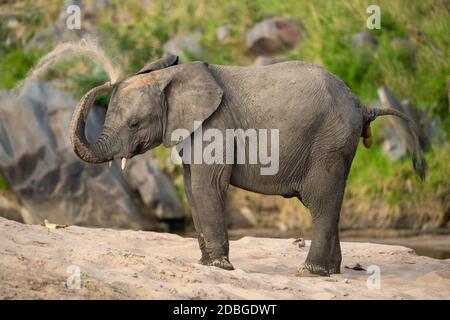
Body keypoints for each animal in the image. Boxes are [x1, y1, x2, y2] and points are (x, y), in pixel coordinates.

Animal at [67, 53, 426, 276]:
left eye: (134, 124)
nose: (103, 81)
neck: (171, 76)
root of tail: (361, 105)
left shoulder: (216, 126)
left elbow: (206, 185)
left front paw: (218, 267)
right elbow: (191, 186)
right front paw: (207, 263)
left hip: (329, 143)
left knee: (322, 202)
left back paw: (310, 273)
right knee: (331, 203)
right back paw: (332, 271)